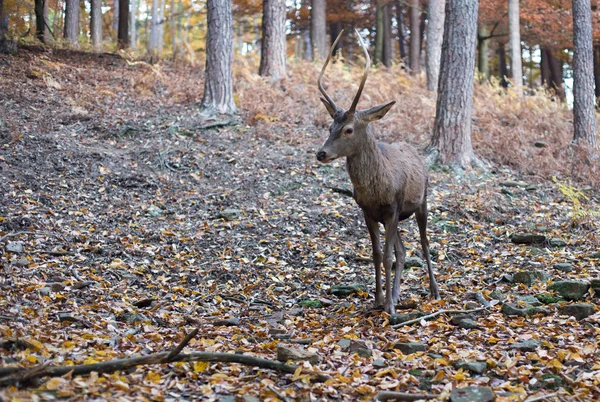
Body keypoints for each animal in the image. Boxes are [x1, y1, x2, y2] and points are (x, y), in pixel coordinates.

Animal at [316, 29, 438, 316]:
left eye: (348, 129)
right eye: (329, 127)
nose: (321, 153)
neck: (376, 189)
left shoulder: (393, 208)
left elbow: (388, 256)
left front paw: (389, 306)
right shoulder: (368, 212)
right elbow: (377, 254)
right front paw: (378, 300)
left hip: (421, 202)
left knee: (425, 244)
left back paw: (434, 290)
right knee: (403, 251)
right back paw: (397, 294)